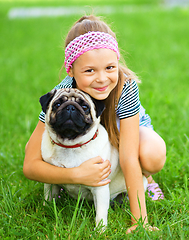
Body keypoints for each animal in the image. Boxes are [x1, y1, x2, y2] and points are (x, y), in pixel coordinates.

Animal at [39, 88, 147, 229]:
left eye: (85, 107)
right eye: (57, 104)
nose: (70, 107)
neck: (71, 145)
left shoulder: (100, 187)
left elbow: (100, 213)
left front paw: (100, 230)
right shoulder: (50, 183)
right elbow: (48, 199)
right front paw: (46, 212)